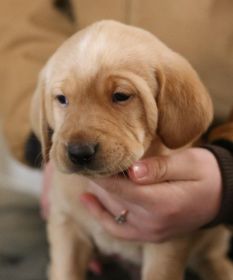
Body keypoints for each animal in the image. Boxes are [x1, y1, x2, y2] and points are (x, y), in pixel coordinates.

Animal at [31, 20, 233, 278]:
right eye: (62, 99)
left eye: (121, 96)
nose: (79, 152)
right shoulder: (66, 224)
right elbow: (65, 269)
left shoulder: (168, 242)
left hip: (213, 237)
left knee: (212, 257)